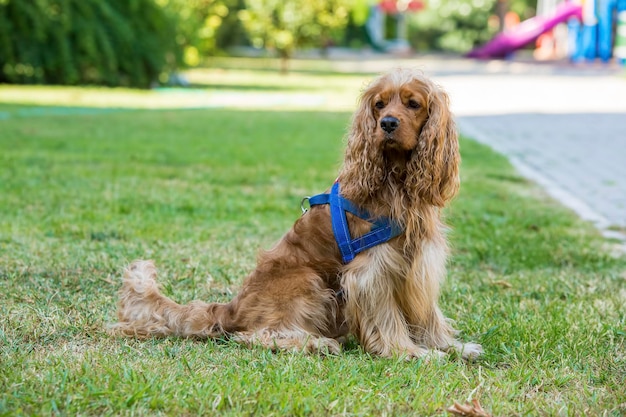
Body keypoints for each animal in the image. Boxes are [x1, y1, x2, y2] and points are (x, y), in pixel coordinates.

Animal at [111, 68, 482, 360]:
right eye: (379, 104)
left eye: (412, 103)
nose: (387, 123)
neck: (396, 180)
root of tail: (231, 308)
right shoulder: (371, 270)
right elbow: (387, 318)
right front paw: (409, 352)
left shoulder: (420, 264)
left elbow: (428, 315)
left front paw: (451, 346)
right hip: (309, 281)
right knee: (253, 335)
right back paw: (317, 344)